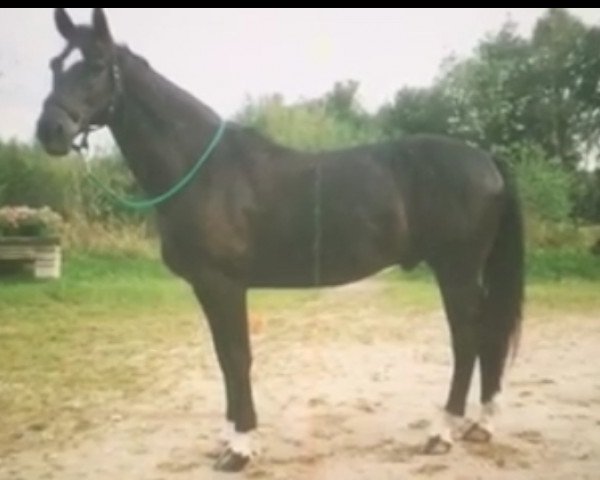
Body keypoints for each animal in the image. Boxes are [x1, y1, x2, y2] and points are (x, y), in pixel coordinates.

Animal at [38, 7, 524, 472]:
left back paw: (442, 432)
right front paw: (230, 437)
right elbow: (224, 357)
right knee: (486, 336)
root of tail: (486, 160)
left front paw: (240, 448)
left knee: (467, 339)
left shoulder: (222, 285)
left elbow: (236, 357)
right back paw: (480, 425)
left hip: (456, 271)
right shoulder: (209, 288)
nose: (50, 131)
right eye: (55, 65)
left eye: (96, 65)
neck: (203, 169)